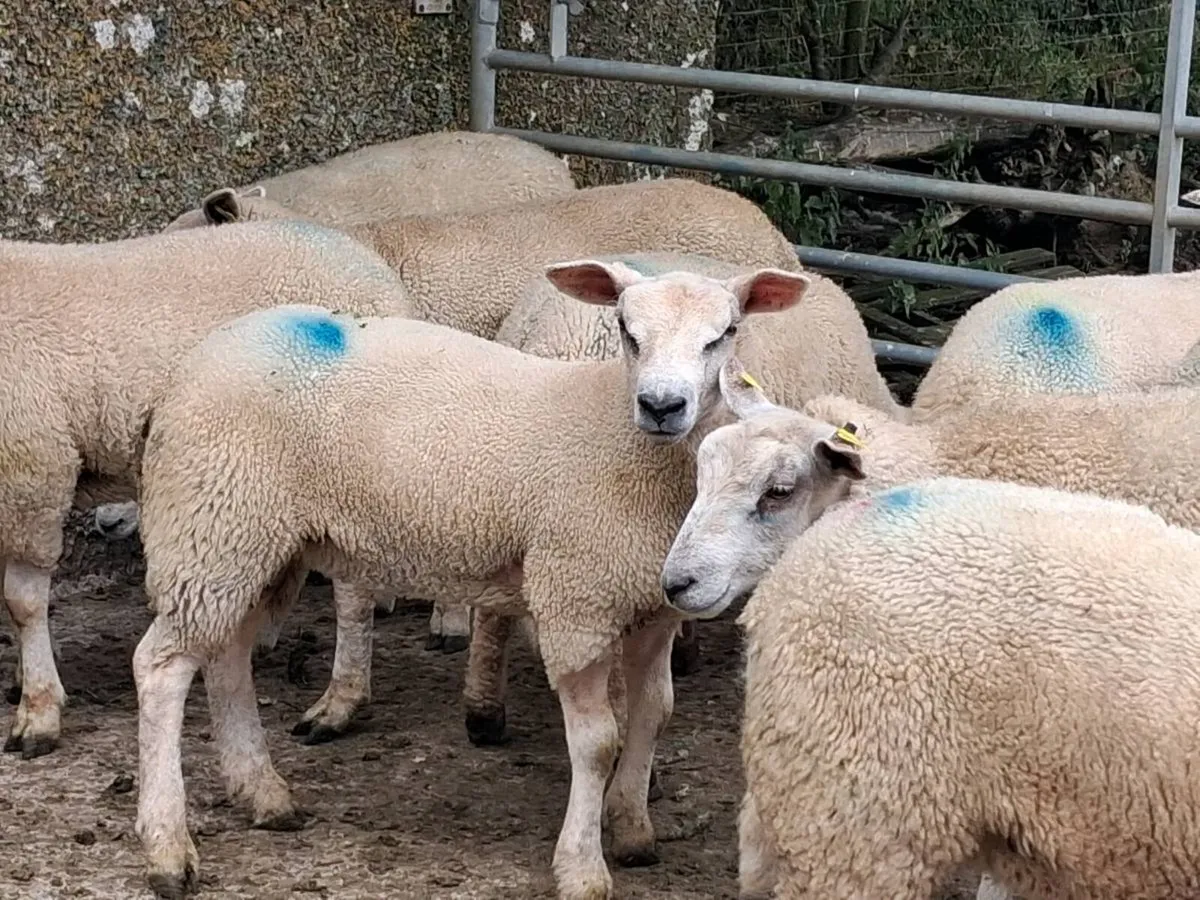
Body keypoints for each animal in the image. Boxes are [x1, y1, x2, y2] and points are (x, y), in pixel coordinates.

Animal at [0, 219, 412, 759]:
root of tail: (377, 273)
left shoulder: (33, 466)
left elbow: (23, 603)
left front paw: (38, 711)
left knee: (353, 594)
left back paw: (338, 701)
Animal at [130, 261, 811, 900]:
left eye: (724, 333)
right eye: (625, 329)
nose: (662, 406)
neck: (626, 443)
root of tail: (196, 361)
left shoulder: (654, 607)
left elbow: (654, 713)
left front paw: (632, 828)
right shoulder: (576, 599)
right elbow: (596, 741)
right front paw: (582, 867)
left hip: (255, 542)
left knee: (226, 654)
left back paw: (263, 794)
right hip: (212, 519)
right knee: (162, 667)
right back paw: (167, 848)